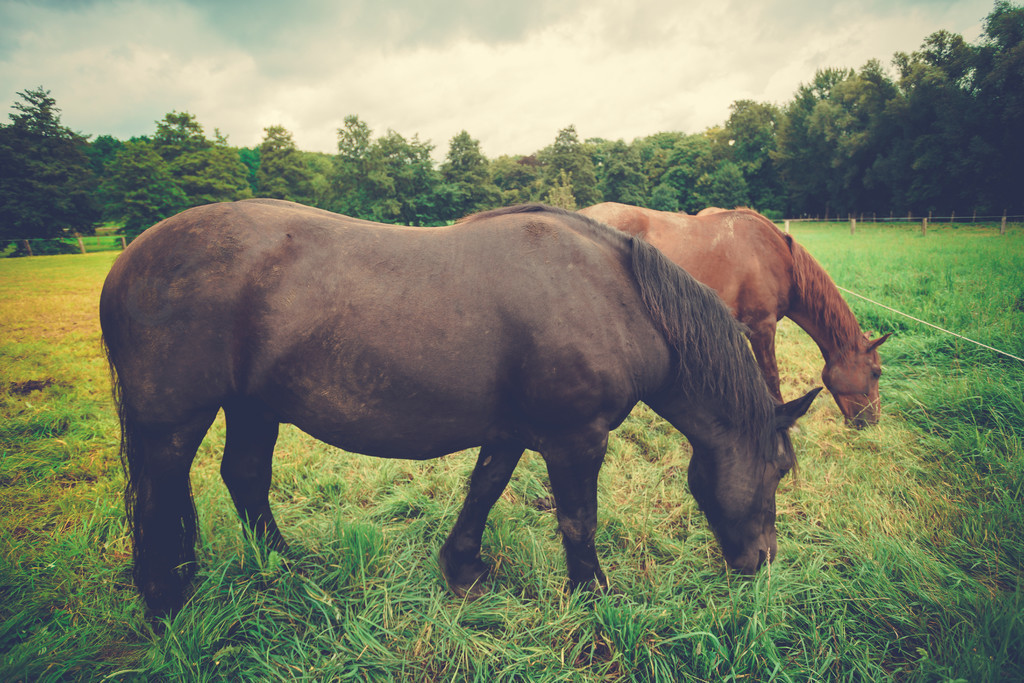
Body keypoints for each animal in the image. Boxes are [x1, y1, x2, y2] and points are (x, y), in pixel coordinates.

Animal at [99, 198, 819, 618]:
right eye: (780, 470)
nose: (763, 561)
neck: (618, 299)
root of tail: (127, 261)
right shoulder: (575, 439)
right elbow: (578, 520)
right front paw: (594, 596)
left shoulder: (515, 428)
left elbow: (485, 487)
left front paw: (463, 568)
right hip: (172, 424)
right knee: (161, 497)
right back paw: (166, 600)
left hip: (253, 405)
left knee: (246, 478)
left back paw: (284, 565)